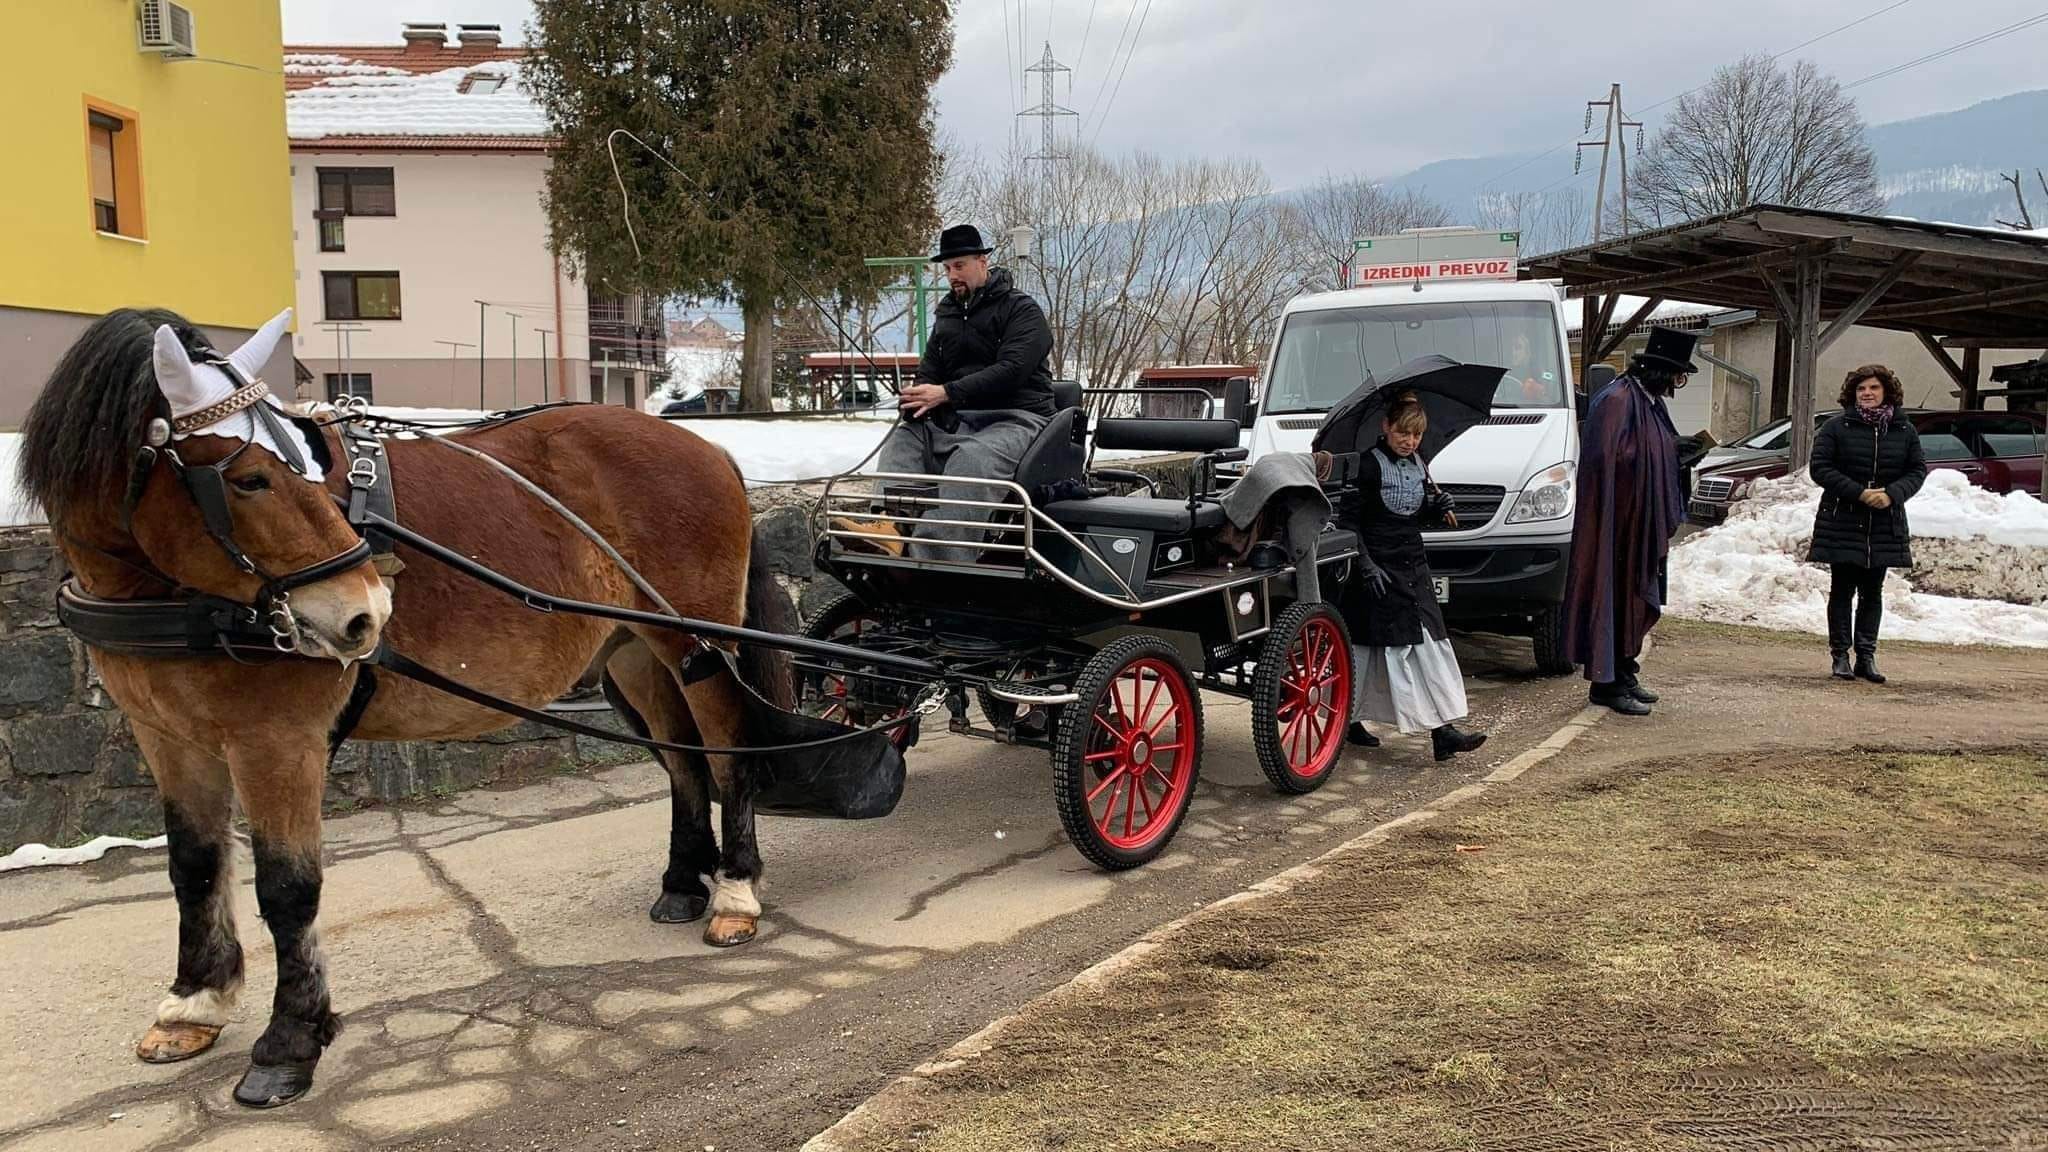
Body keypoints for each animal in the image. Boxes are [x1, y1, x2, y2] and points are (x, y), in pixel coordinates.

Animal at [19, 305, 794, 1106]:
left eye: (293, 466)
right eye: (250, 477)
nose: (366, 613)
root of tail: (707, 447)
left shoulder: (277, 740)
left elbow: (287, 887)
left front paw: (290, 1041)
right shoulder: (167, 736)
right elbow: (194, 866)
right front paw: (194, 1002)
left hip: (700, 643)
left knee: (727, 754)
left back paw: (736, 891)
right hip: (636, 651)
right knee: (683, 764)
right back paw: (682, 883)